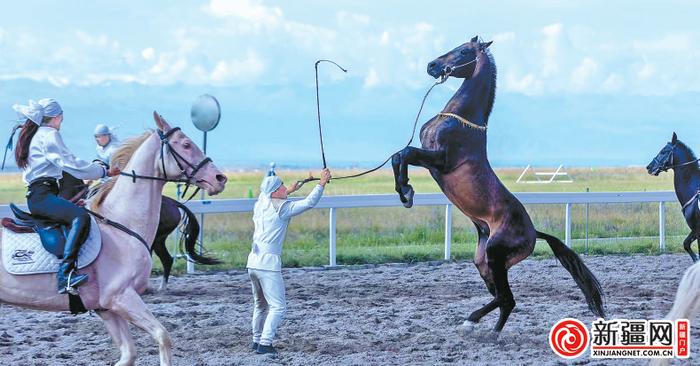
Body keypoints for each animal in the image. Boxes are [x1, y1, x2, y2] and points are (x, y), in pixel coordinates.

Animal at [392, 36, 604, 332]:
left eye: (463, 51)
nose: (432, 65)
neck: (460, 120)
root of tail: (534, 233)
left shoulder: (440, 159)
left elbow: (405, 153)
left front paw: (406, 192)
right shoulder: (430, 159)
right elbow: (399, 155)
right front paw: (405, 191)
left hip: (495, 255)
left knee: (507, 298)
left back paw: (478, 325)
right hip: (484, 263)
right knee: (503, 299)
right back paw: (481, 325)